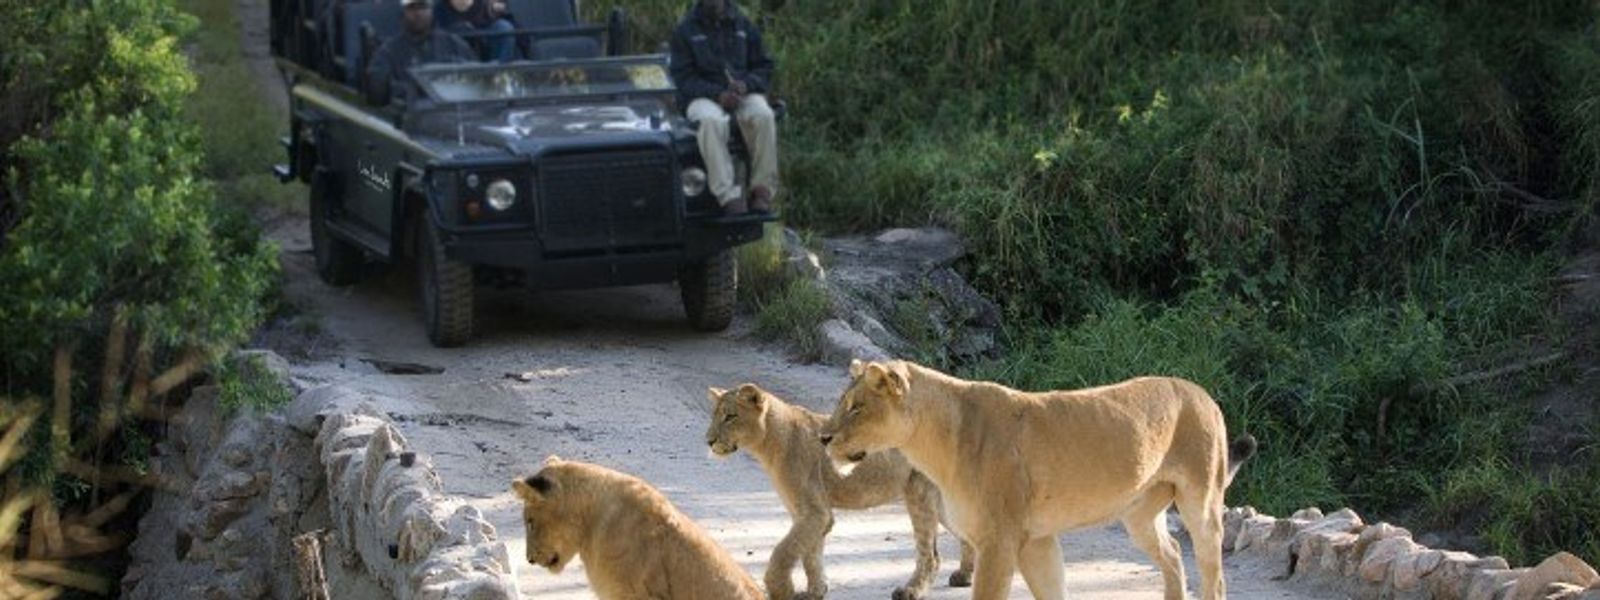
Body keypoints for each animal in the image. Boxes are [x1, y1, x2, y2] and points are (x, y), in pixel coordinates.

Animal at [706, 384, 974, 600]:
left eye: (730, 416)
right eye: (714, 416)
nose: (708, 440)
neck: (769, 440)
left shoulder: (814, 512)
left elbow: (784, 551)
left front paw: (781, 590)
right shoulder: (808, 514)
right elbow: (810, 554)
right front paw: (815, 591)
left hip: (919, 493)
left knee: (931, 555)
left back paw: (911, 591)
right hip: (941, 502)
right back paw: (964, 576)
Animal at [818, 360, 1257, 600]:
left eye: (856, 408)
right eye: (842, 405)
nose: (823, 437)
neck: (931, 441)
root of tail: (1202, 392)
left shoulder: (999, 541)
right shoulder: (1036, 540)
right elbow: (1052, 589)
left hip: (1202, 503)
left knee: (1213, 576)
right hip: (1138, 516)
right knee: (1173, 554)